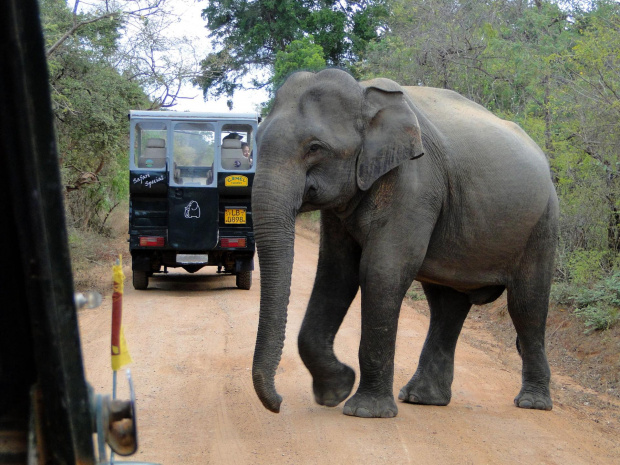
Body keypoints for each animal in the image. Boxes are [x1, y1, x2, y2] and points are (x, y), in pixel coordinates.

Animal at [249, 68, 560, 416]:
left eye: (315, 147)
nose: (278, 403)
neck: (364, 93)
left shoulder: (414, 182)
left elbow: (381, 271)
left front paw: (364, 411)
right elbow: (336, 272)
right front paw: (336, 390)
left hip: (542, 222)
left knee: (526, 304)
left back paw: (532, 403)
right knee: (446, 306)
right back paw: (422, 398)